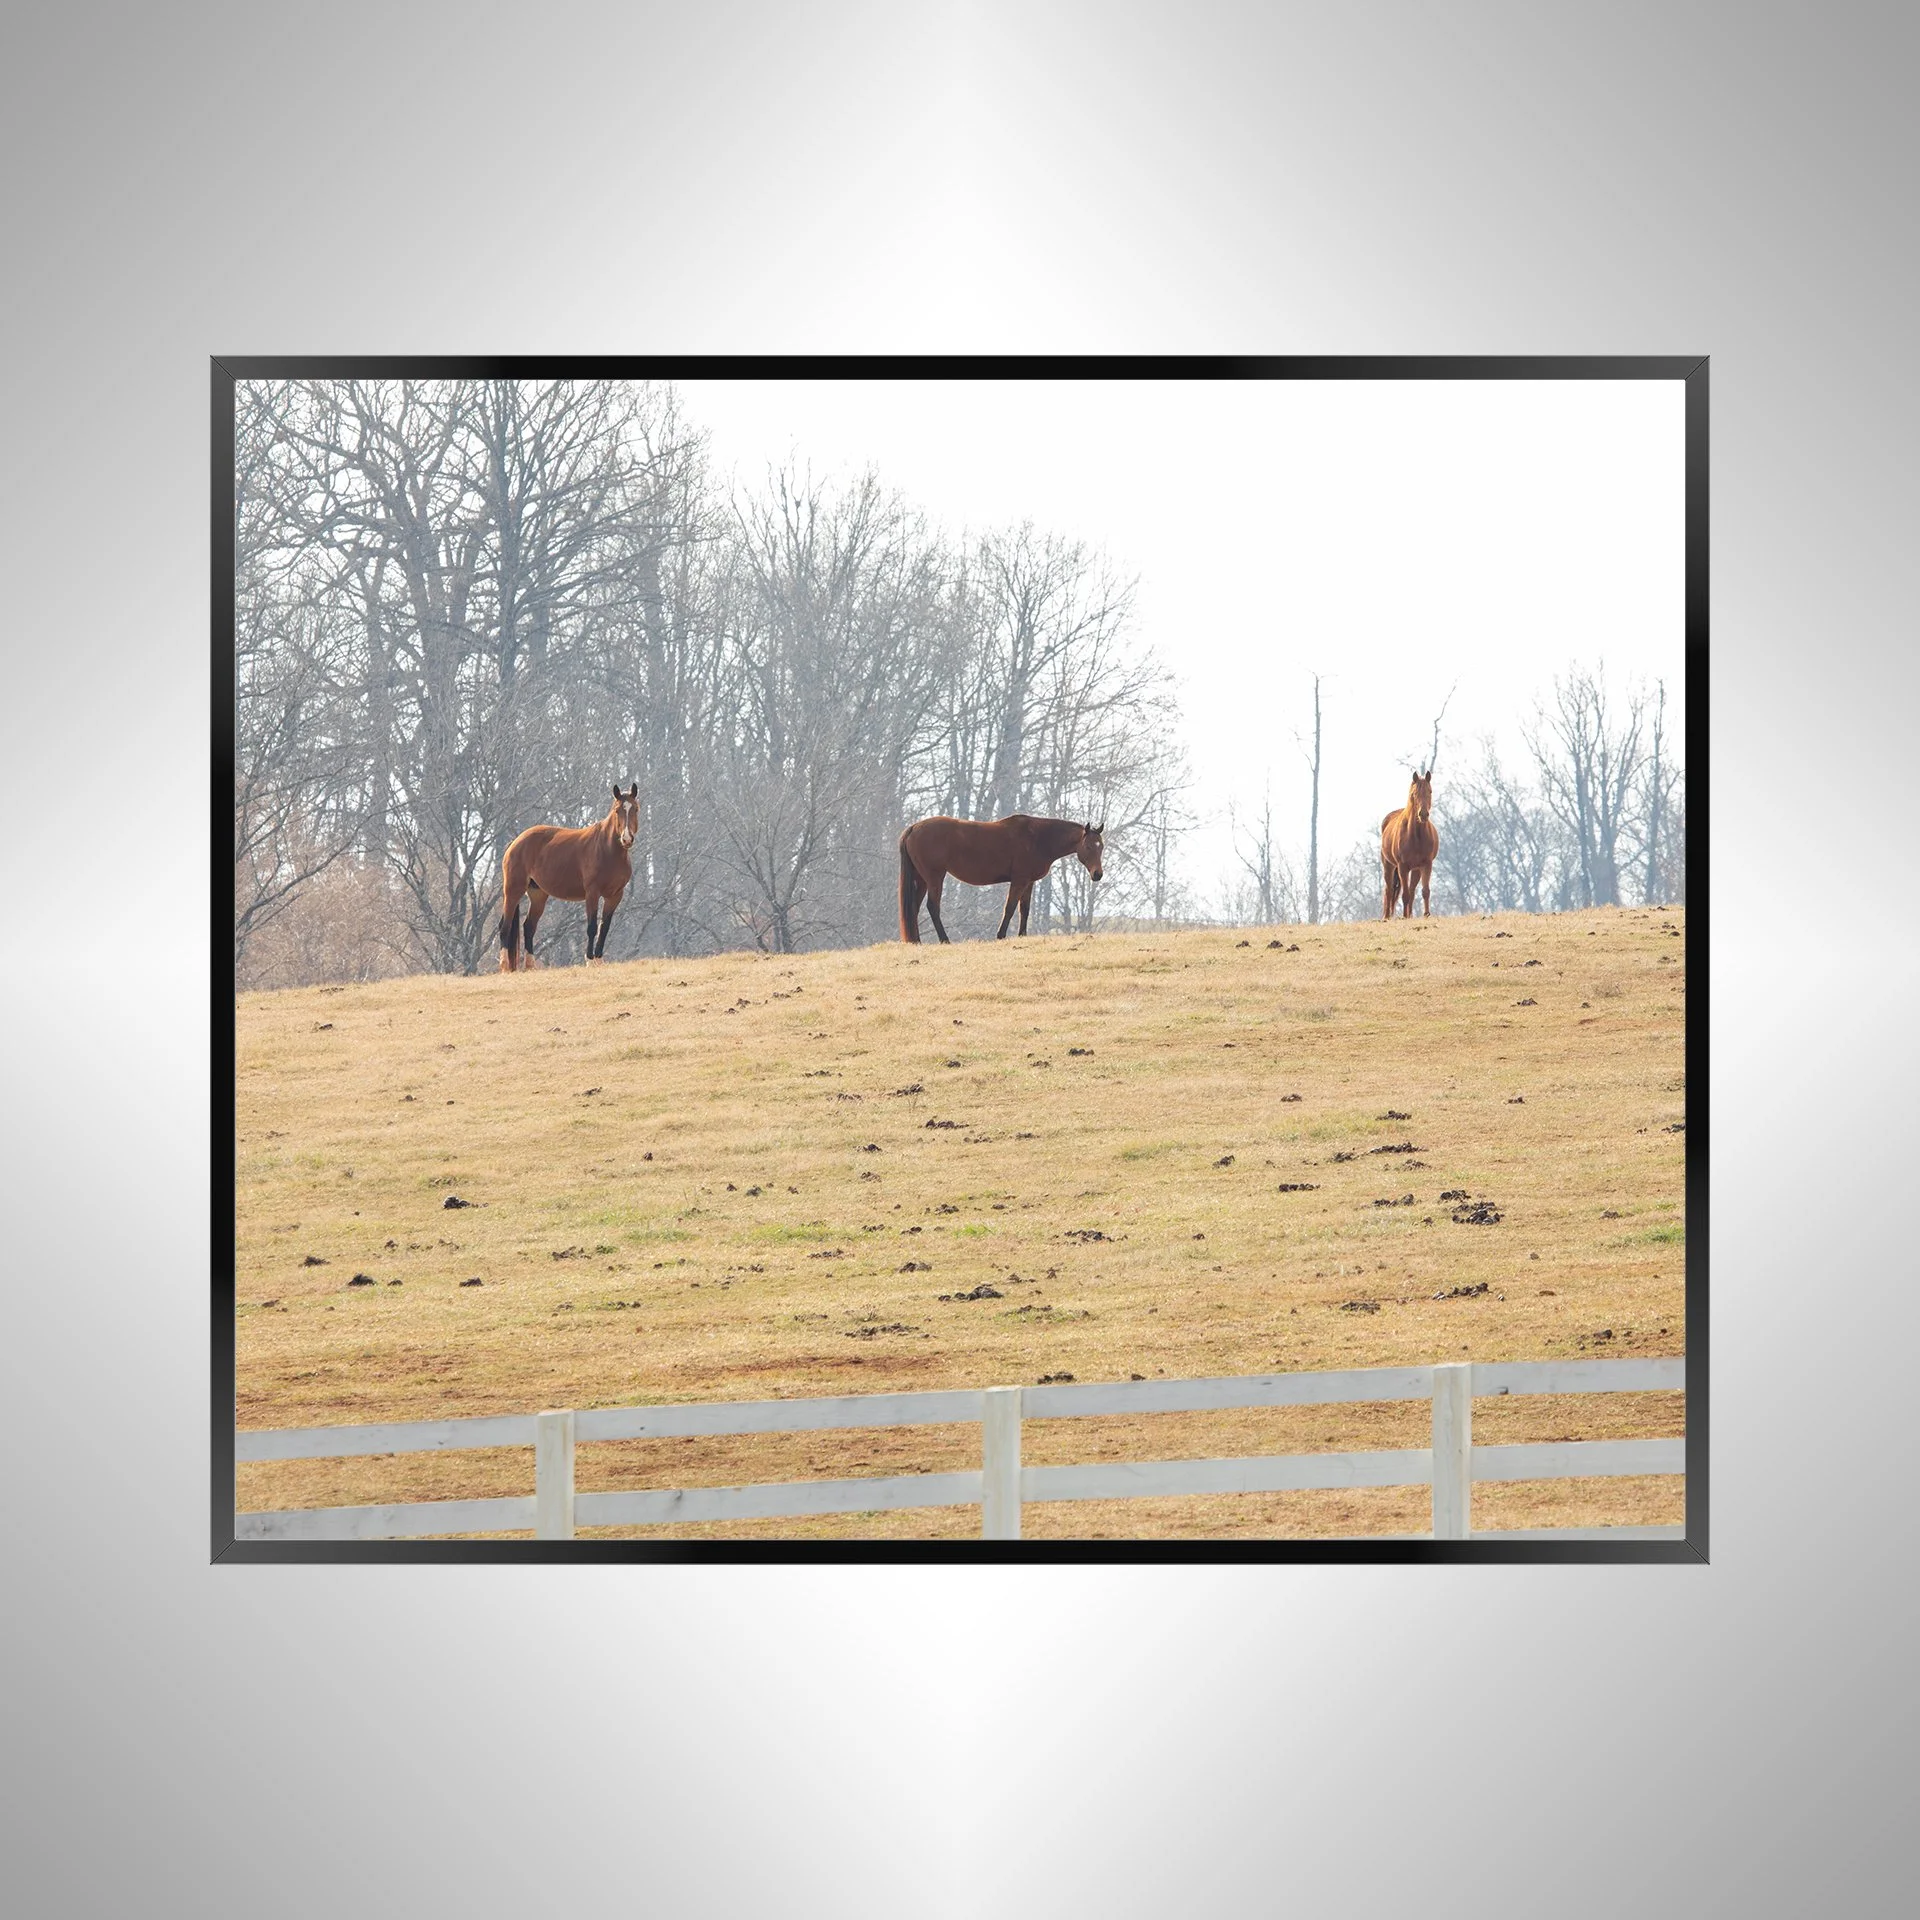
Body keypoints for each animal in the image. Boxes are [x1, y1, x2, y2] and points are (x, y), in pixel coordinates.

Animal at [498, 784, 638, 971]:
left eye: (635, 809)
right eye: (617, 810)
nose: (627, 838)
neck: (607, 849)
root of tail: (515, 842)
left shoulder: (615, 896)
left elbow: (604, 927)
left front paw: (599, 960)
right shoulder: (592, 894)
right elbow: (592, 927)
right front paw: (590, 960)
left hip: (538, 895)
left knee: (529, 926)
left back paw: (530, 966)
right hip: (513, 890)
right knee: (505, 926)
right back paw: (505, 966)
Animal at [899, 814, 1103, 943]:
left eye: (1101, 846)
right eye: (1088, 847)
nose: (1098, 874)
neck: (1038, 838)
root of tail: (913, 828)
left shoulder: (1029, 882)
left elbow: (1024, 909)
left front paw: (1022, 935)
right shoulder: (1019, 880)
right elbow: (1010, 908)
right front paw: (1001, 935)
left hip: (922, 880)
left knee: (914, 908)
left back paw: (916, 941)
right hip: (934, 878)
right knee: (932, 907)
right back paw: (944, 939)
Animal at [1380, 768, 1439, 919]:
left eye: (1430, 791)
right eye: (1414, 793)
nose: (1423, 814)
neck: (1416, 836)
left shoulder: (1426, 864)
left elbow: (1425, 891)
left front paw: (1426, 914)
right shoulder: (1402, 866)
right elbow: (1405, 894)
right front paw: (1404, 916)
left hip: (1416, 869)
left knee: (1412, 891)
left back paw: (1409, 915)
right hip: (1388, 865)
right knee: (1389, 890)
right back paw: (1387, 917)